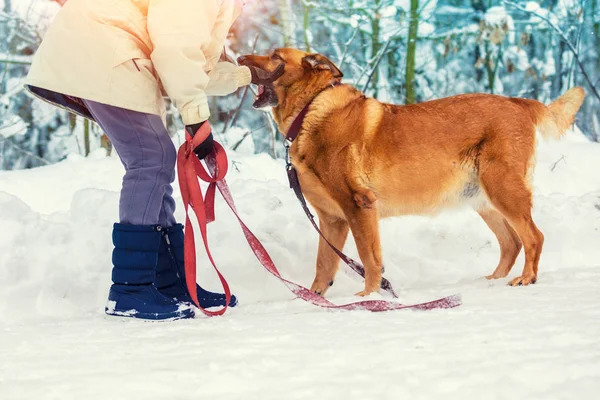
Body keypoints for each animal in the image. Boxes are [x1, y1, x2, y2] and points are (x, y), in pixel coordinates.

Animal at [237, 47, 584, 296]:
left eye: (275, 57)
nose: (239, 58)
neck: (310, 110)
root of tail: (517, 102)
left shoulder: (358, 206)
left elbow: (369, 258)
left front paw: (369, 297)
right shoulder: (333, 219)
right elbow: (324, 264)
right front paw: (315, 297)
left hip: (503, 190)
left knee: (533, 237)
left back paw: (526, 278)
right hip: (484, 199)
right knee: (511, 242)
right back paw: (491, 281)